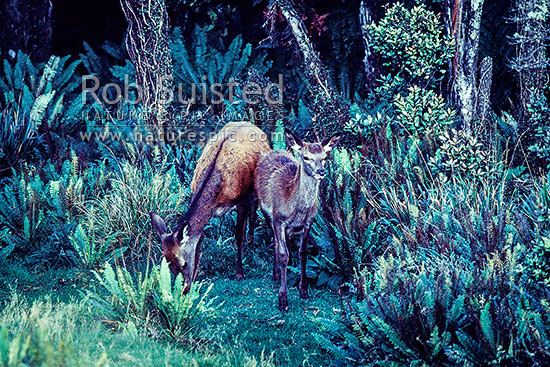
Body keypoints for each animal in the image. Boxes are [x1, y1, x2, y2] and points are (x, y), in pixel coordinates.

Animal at [151, 122, 272, 288]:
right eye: (169, 265)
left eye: (183, 264)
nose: (184, 289)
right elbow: (199, 239)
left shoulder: (242, 200)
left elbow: (238, 235)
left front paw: (239, 273)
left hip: (256, 189)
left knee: (253, 214)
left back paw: (251, 244)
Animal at [256, 129, 342, 310]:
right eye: (306, 157)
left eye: (324, 157)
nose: (321, 172)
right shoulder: (278, 219)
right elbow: (283, 254)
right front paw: (283, 300)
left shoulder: (308, 222)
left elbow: (303, 252)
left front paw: (304, 291)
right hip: (265, 212)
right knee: (275, 241)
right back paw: (276, 275)